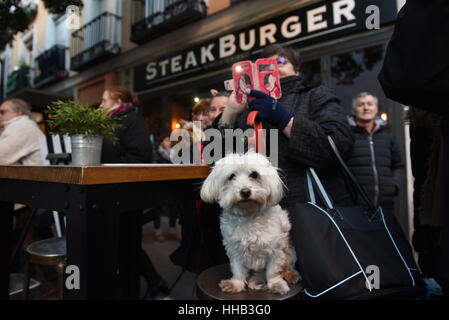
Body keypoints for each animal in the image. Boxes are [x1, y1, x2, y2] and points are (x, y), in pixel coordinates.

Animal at [200, 152, 300, 296]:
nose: (245, 191)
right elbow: (238, 270)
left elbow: (273, 271)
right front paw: (236, 284)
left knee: (287, 266)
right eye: (231, 176)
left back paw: (290, 274)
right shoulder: (234, 249)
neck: (248, 215)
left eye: (254, 174)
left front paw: (276, 284)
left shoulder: (276, 250)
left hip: (289, 251)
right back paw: (256, 281)